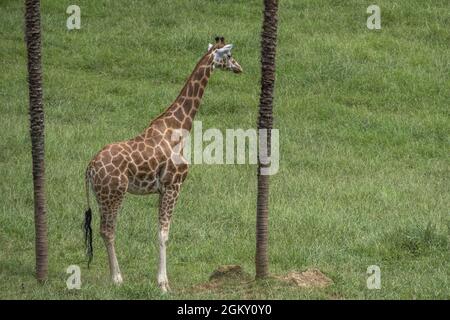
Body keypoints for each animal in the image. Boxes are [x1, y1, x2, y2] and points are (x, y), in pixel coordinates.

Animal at [81, 36, 243, 292]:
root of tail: (89, 168)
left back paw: (114, 276)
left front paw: (162, 281)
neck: (179, 127)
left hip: (101, 196)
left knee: (103, 230)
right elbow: (163, 234)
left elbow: (160, 232)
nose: (239, 68)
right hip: (114, 193)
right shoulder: (173, 185)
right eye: (228, 55)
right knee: (108, 231)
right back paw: (117, 279)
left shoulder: (162, 189)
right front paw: (163, 284)